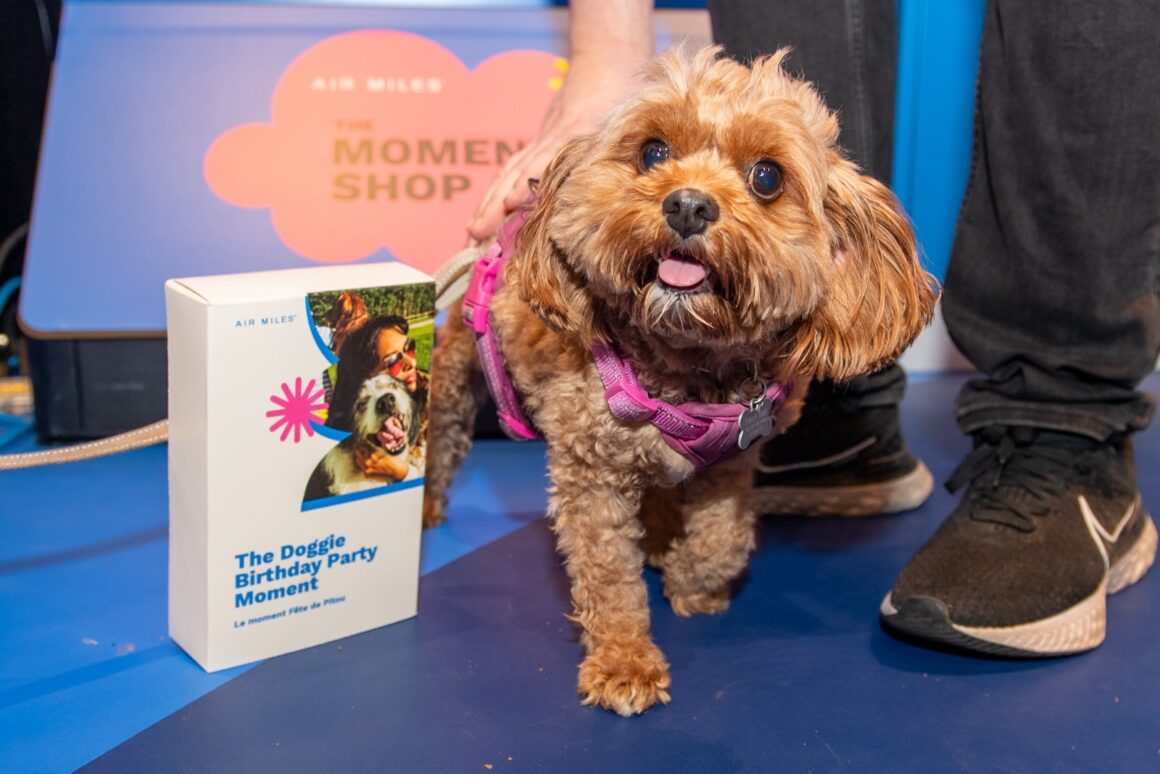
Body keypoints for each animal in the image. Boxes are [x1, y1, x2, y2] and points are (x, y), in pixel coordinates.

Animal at [422, 46, 937, 714]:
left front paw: (694, 579)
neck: (688, 368)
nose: (688, 205)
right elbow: (609, 577)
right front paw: (623, 662)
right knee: (440, 441)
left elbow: (725, 540)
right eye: (653, 152)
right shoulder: (592, 473)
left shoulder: (734, 462)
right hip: (457, 379)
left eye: (767, 176)